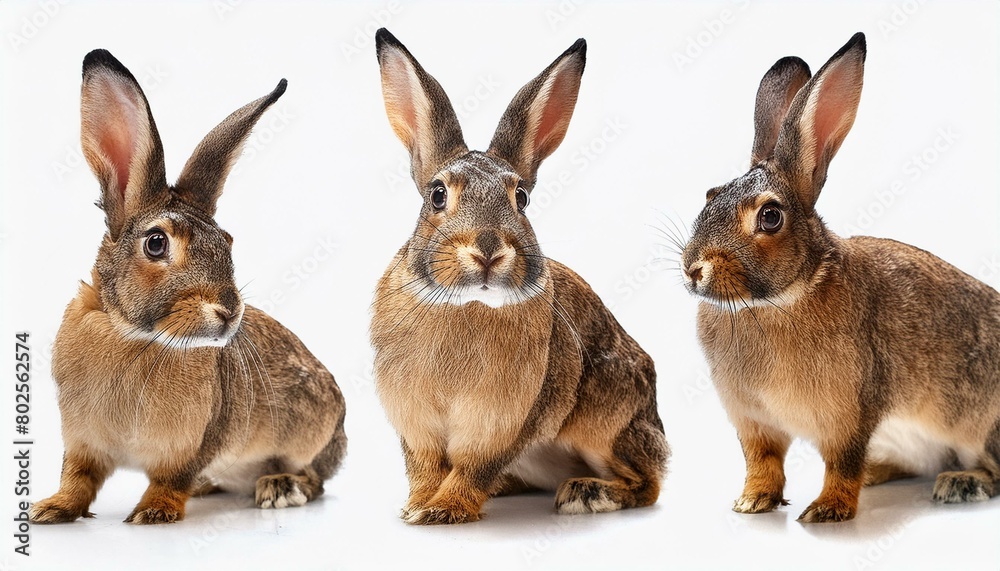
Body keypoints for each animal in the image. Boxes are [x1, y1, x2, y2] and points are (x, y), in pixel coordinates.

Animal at [29, 49, 347, 525]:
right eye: (156, 243)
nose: (229, 310)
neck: (133, 335)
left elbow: (171, 478)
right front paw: (50, 510)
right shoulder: (82, 441)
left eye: (227, 242)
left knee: (315, 477)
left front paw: (152, 512)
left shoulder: (197, 442)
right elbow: (77, 478)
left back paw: (279, 487)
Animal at [369, 28, 669, 525]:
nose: (489, 249)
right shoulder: (417, 426)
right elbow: (426, 468)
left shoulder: (502, 424)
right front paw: (416, 507)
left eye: (522, 199)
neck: (467, 304)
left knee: (649, 482)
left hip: (605, 425)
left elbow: (473, 468)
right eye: (437, 195)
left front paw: (443, 510)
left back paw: (587, 493)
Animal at [681, 32, 1000, 523]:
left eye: (770, 217)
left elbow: (843, 461)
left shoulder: (849, 412)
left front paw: (827, 510)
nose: (694, 268)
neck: (784, 297)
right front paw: (752, 502)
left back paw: (960, 483)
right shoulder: (755, 422)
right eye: (710, 195)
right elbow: (763, 462)